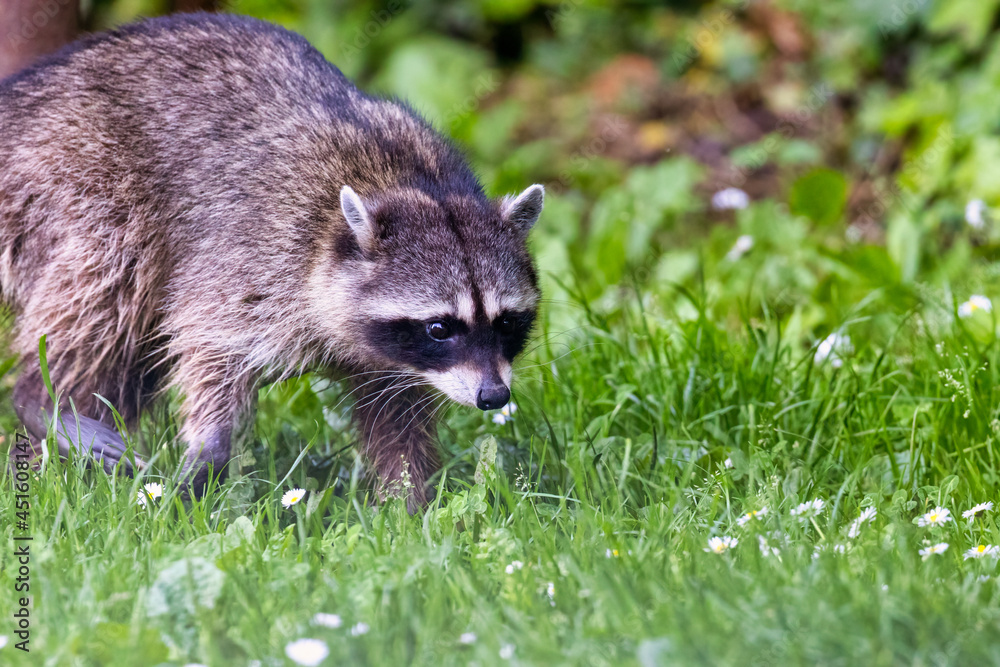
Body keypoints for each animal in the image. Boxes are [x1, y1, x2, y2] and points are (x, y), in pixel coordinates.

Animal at [0, 13, 543, 509]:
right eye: (439, 327)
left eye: (507, 321)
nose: (494, 397)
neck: (413, 185)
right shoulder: (252, 253)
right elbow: (210, 349)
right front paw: (208, 452)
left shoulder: (396, 358)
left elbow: (397, 417)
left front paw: (410, 505)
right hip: (78, 177)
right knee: (108, 285)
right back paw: (42, 401)